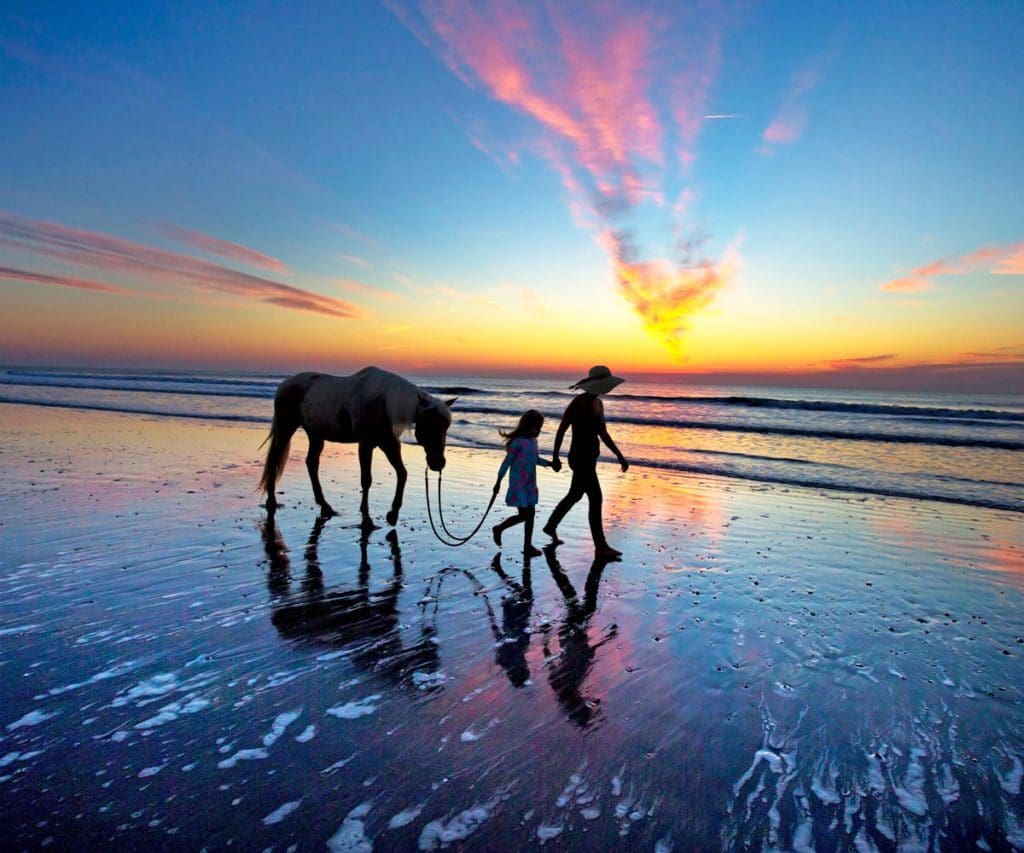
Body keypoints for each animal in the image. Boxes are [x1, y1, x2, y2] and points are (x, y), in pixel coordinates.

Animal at [260, 366, 456, 524]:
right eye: (429, 424)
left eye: (447, 425)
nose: (438, 463)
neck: (383, 401)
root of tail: (284, 384)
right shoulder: (366, 444)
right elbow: (366, 480)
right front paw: (366, 517)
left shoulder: (389, 443)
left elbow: (402, 473)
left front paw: (393, 514)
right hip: (287, 427)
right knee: (275, 458)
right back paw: (272, 502)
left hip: (315, 434)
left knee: (311, 463)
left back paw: (325, 506)